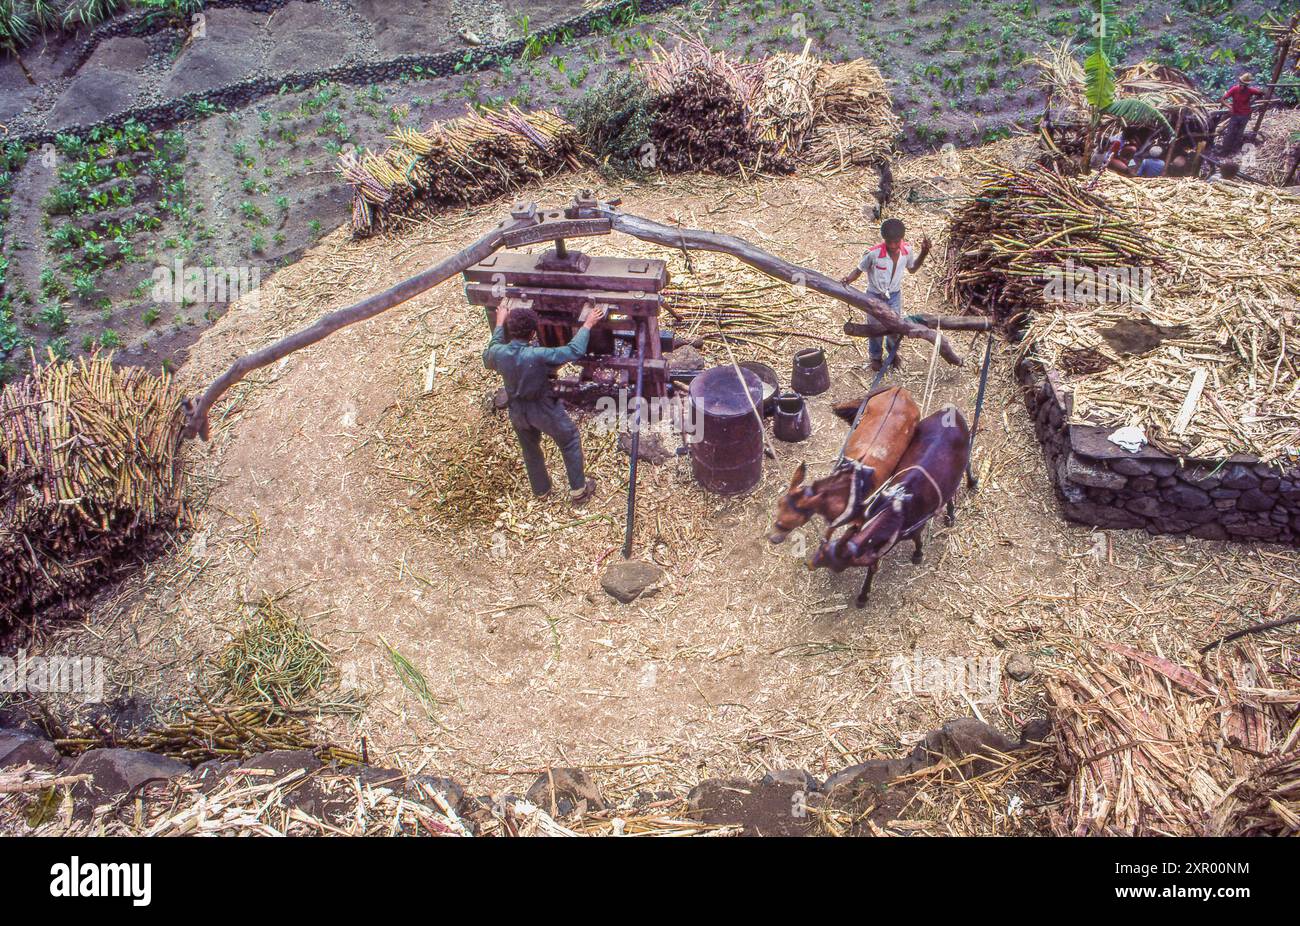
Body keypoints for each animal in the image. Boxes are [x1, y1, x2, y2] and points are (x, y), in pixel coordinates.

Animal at [810, 405, 970, 607]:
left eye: (838, 564)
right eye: (824, 550)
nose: (810, 563)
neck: (896, 508)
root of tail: (952, 410)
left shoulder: (915, 527)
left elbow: (917, 540)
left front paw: (917, 555)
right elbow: (873, 564)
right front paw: (863, 596)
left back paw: (953, 512)